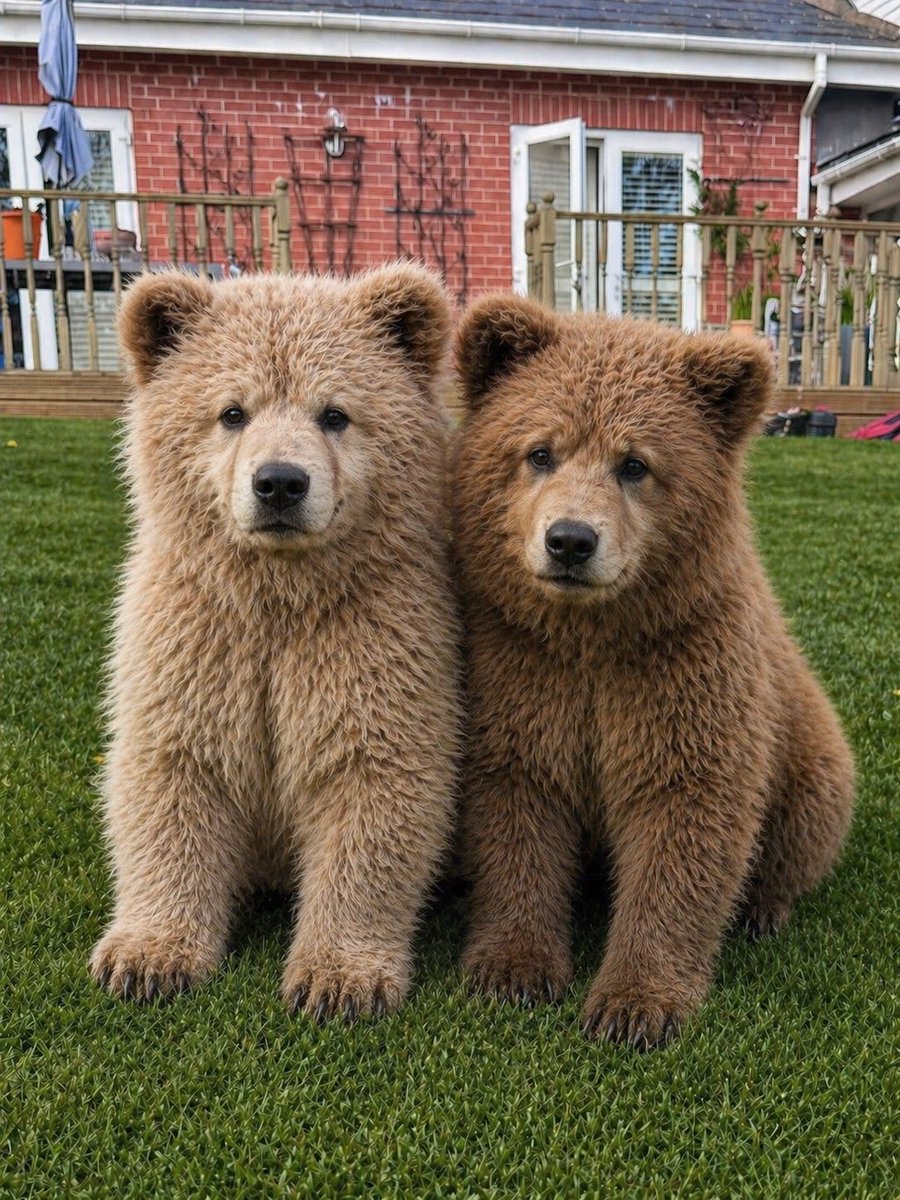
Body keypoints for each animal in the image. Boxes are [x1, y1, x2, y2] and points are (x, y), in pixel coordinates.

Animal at [89, 264, 462, 1022]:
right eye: (232, 411)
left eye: (335, 412)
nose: (281, 483)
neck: (279, 600)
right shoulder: (196, 639)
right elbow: (169, 777)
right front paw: (145, 957)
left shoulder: (373, 639)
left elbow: (374, 788)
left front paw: (337, 979)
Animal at [450, 295, 855, 1049]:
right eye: (539, 451)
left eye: (635, 463)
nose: (571, 540)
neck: (594, 639)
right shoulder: (523, 673)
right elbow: (517, 812)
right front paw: (513, 968)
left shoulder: (684, 672)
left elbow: (684, 826)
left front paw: (635, 1004)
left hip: (810, 750)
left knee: (806, 823)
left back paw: (763, 907)